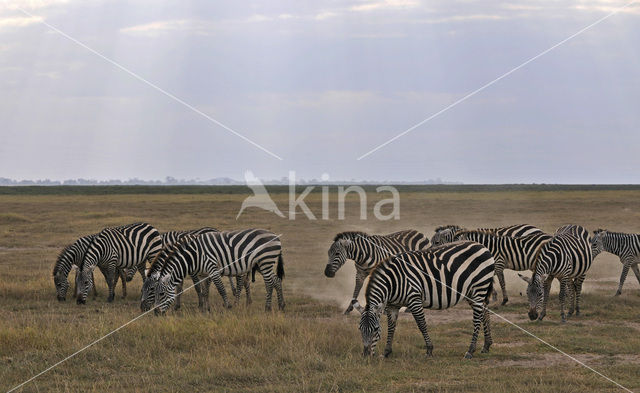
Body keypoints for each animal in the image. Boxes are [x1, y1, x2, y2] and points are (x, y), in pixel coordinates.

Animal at [151, 227, 284, 312]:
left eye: (161, 294)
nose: (156, 313)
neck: (194, 255)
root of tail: (275, 236)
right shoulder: (204, 273)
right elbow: (205, 291)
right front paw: (206, 309)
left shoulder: (212, 268)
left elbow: (221, 289)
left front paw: (228, 306)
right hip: (261, 264)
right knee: (276, 281)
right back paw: (281, 306)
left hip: (265, 261)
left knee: (269, 284)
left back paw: (267, 308)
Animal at [356, 239, 496, 358]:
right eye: (360, 329)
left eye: (375, 329)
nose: (365, 355)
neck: (393, 282)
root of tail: (483, 246)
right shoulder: (392, 305)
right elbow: (391, 326)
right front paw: (386, 352)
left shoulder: (414, 299)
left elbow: (421, 324)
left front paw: (429, 350)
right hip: (471, 291)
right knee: (485, 312)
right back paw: (486, 345)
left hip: (479, 286)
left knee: (477, 317)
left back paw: (470, 350)